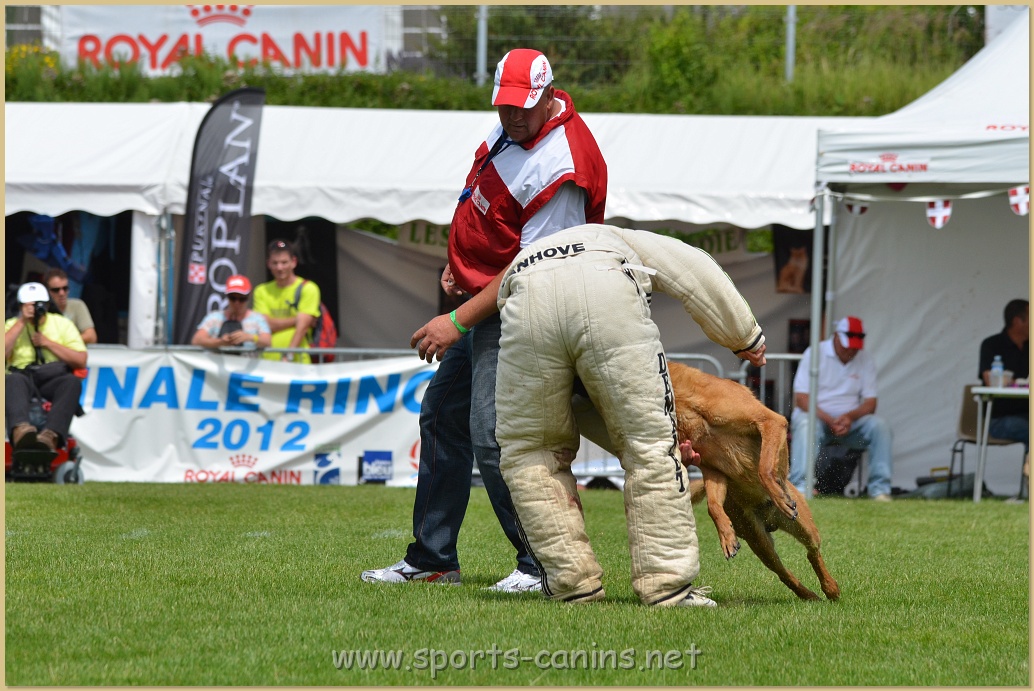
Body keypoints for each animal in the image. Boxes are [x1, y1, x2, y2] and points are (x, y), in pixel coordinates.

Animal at [574, 361, 839, 601]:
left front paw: (779, 495)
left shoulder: (771, 422)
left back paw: (830, 587)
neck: (684, 401)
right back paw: (809, 594)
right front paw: (726, 536)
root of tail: (770, 520)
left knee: (812, 552)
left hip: (804, 527)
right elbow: (713, 506)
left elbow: (764, 469)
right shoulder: (713, 470)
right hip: (760, 542)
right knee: (784, 573)